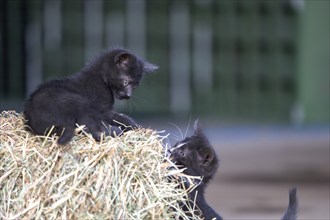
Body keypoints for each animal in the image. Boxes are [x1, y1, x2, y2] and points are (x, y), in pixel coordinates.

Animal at [23, 47, 158, 144]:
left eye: (135, 86)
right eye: (126, 82)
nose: (128, 95)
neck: (100, 78)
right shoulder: (102, 109)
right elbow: (121, 117)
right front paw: (134, 127)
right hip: (77, 101)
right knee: (93, 127)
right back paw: (115, 132)